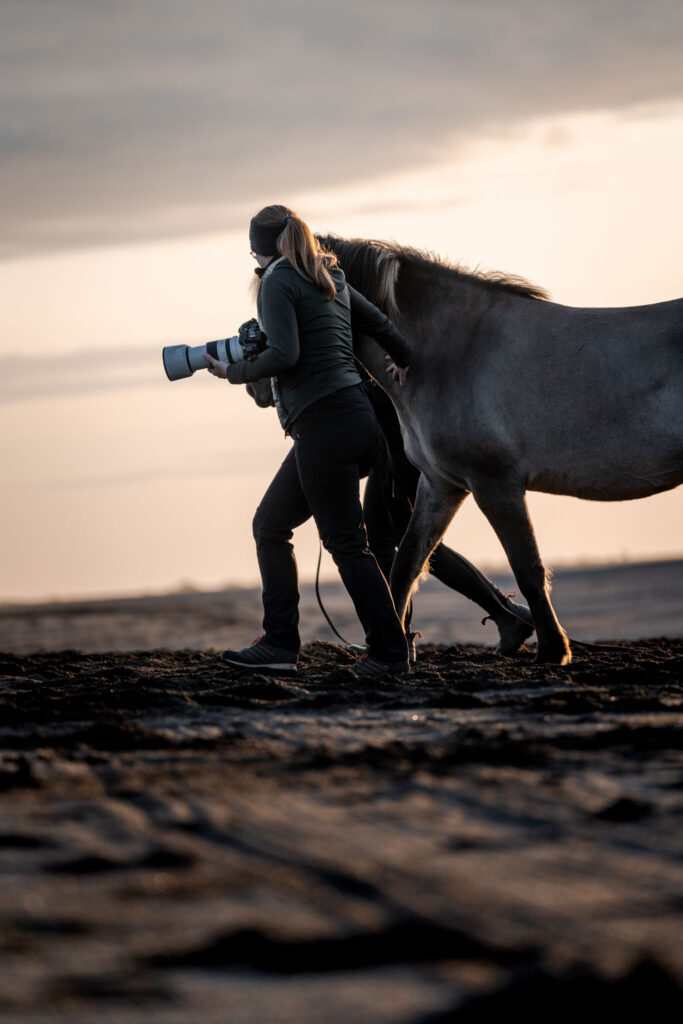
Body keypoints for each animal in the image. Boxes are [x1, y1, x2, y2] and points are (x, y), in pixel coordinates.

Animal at [321, 236, 683, 667]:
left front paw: (553, 650)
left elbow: (527, 567)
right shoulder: (441, 485)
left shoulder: (495, 485)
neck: (446, 351)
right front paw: (385, 649)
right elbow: (408, 561)